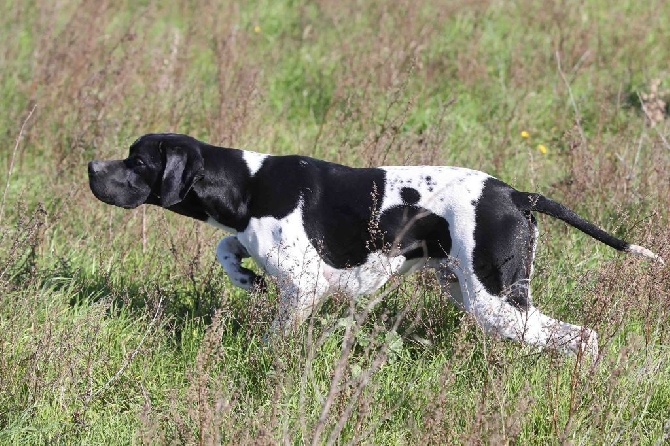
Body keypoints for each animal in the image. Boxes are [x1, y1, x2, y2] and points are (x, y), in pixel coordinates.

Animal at [89, 132, 668, 356]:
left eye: (137, 160)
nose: (91, 167)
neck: (248, 183)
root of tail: (517, 194)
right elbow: (227, 247)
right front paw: (242, 275)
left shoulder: (304, 288)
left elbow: (275, 340)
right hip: (472, 293)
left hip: (496, 300)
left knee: (582, 337)